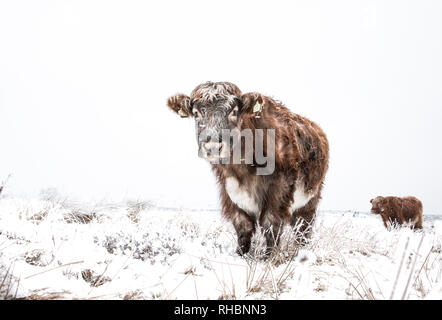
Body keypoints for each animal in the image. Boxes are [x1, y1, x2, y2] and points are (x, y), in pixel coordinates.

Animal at [166, 82, 328, 255]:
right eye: (196, 113)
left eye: (234, 111)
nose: (213, 146)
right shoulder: (229, 191)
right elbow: (243, 225)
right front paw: (240, 254)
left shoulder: (279, 189)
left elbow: (270, 224)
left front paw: (269, 256)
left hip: (310, 200)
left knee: (303, 228)